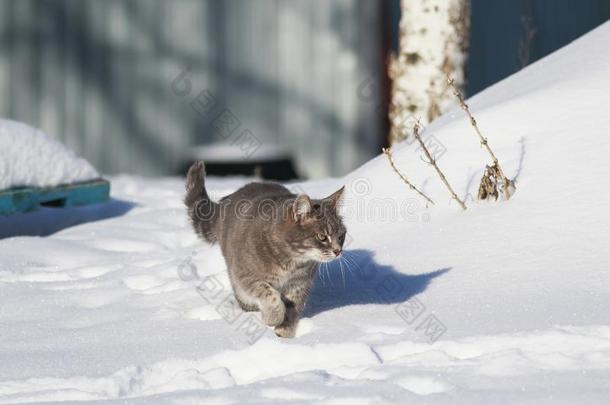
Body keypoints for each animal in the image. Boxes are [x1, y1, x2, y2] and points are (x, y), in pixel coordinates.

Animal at [184, 162, 346, 338]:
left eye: (341, 236)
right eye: (322, 237)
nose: (338, 251)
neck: (293, 261)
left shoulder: (300, 284)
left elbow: (293, 307)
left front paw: (284, 331)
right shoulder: (246, 275)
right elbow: (269, 293)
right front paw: (273, 317)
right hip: (238, 282)